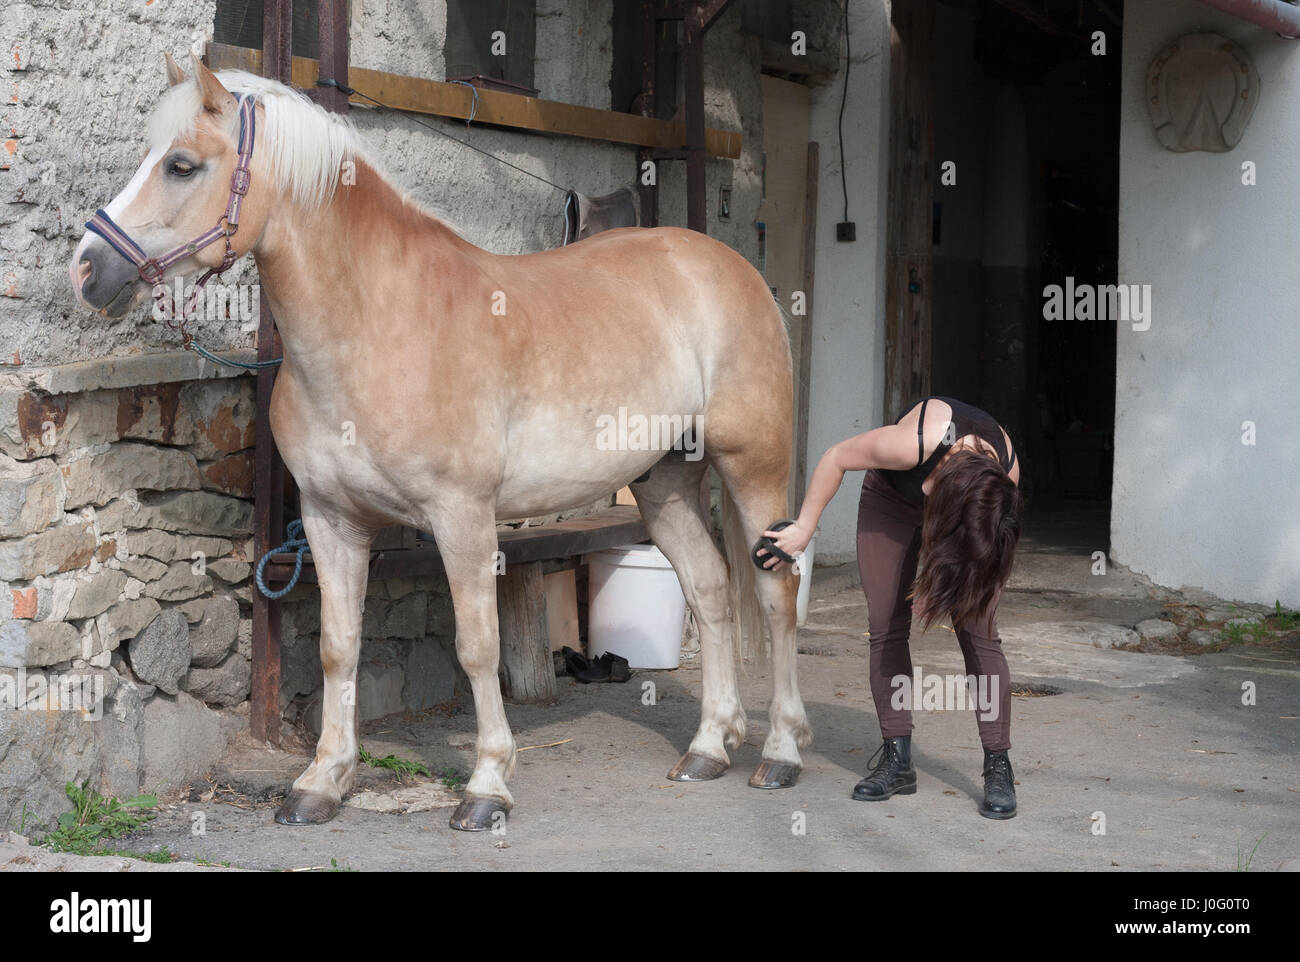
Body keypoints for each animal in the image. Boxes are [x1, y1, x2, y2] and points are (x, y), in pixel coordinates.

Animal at [70, 54, 811, 832]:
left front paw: (487, 786)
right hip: (664, 481)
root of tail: (733, 269)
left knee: (777, 592)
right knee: (711, 587)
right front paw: (323, 780)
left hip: (753, 469)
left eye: (182, 165)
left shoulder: (462, 517)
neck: (377, 324)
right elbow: (338, 649)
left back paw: (781, 753)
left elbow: (477, 648)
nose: (87, 269)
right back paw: (708, 747)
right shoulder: (331, 520)